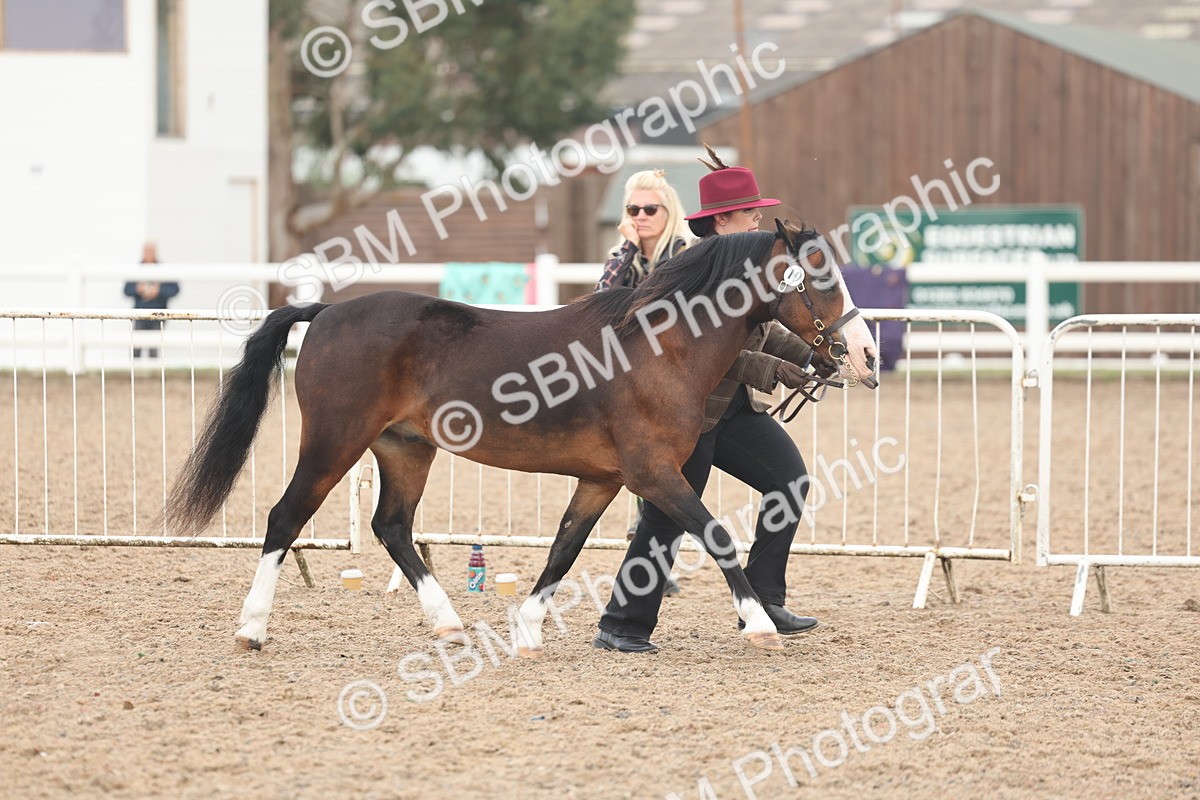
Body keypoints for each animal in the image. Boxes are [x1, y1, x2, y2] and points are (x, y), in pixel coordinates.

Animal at [167, 219, 878, 656]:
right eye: (819, 277)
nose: (867, 355)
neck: (658, 345)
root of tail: (327, 311)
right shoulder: (654, 475)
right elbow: (718, 537)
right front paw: (759, 625)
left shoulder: (603, 480)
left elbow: (563, 548)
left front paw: (529, 632)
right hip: (333, 442)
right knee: (285, 518)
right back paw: (251, 629)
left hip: (405, 448)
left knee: (392, 526)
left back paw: (450, 625)